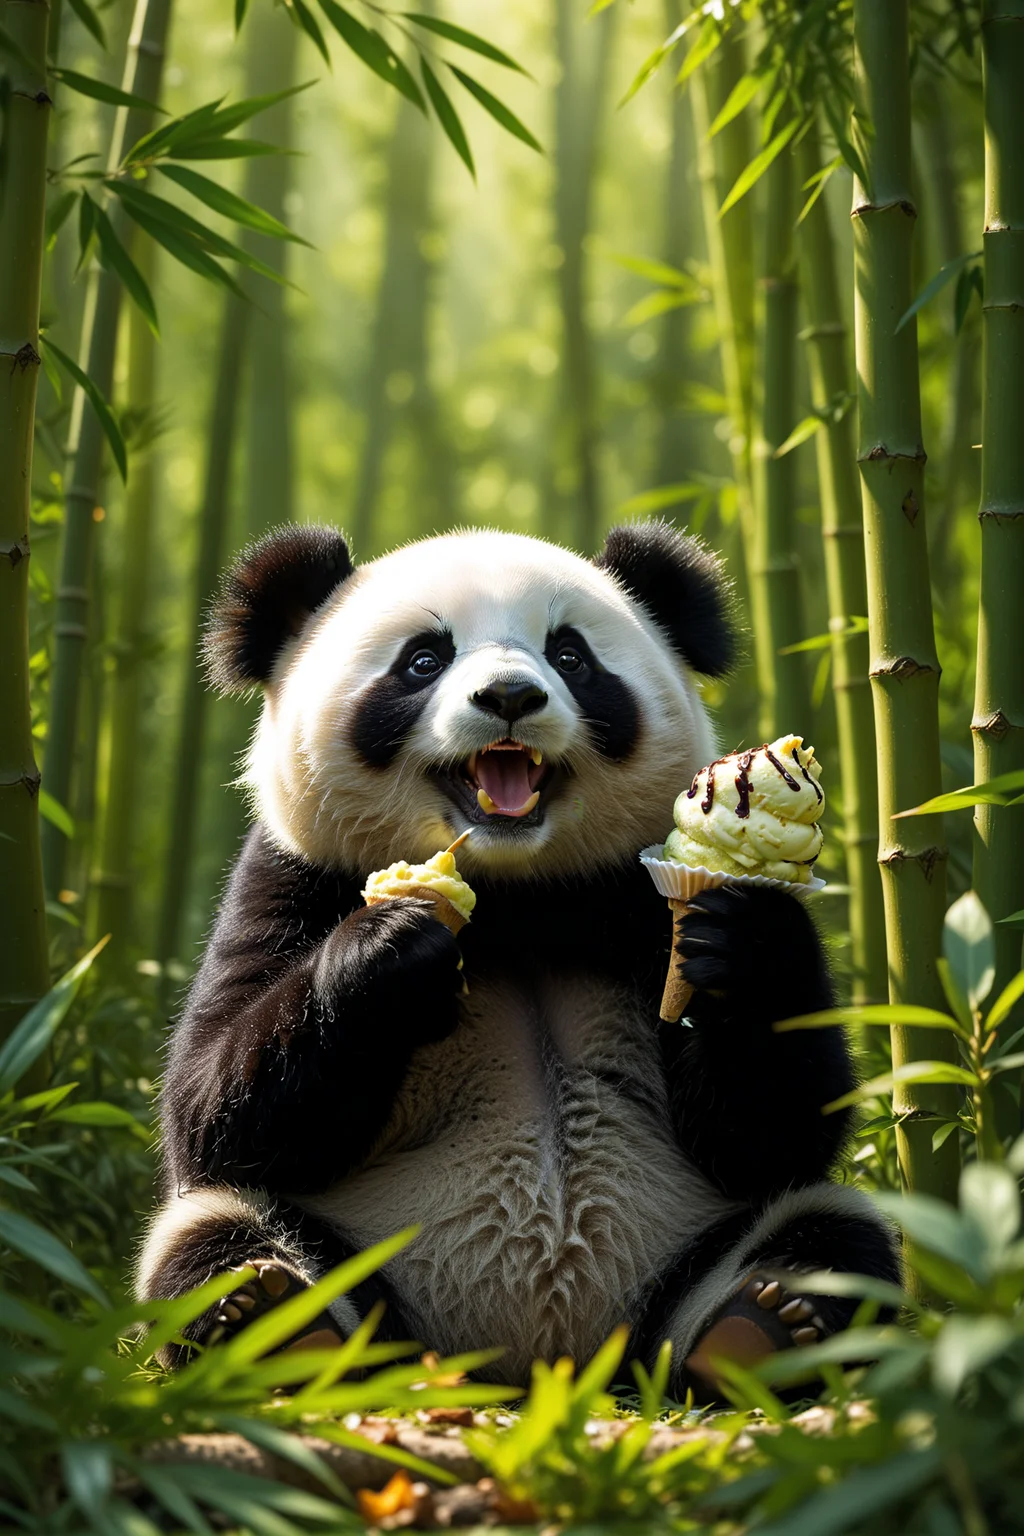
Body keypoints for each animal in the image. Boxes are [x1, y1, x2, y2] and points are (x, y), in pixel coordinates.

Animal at [138, 519, 899, 1400]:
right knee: (212, 1232)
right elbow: (213, 1113)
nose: (509, 697)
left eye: (569, 654)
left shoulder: (631, 902)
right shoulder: (288, 878)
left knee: (831, 1231)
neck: (516, 894)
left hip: (678, 1280)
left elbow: (775, 1134)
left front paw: (740, 941)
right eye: (423, 659)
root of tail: (532, 1363)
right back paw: (275, 1325)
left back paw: (763, 1327)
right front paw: (392, 954)